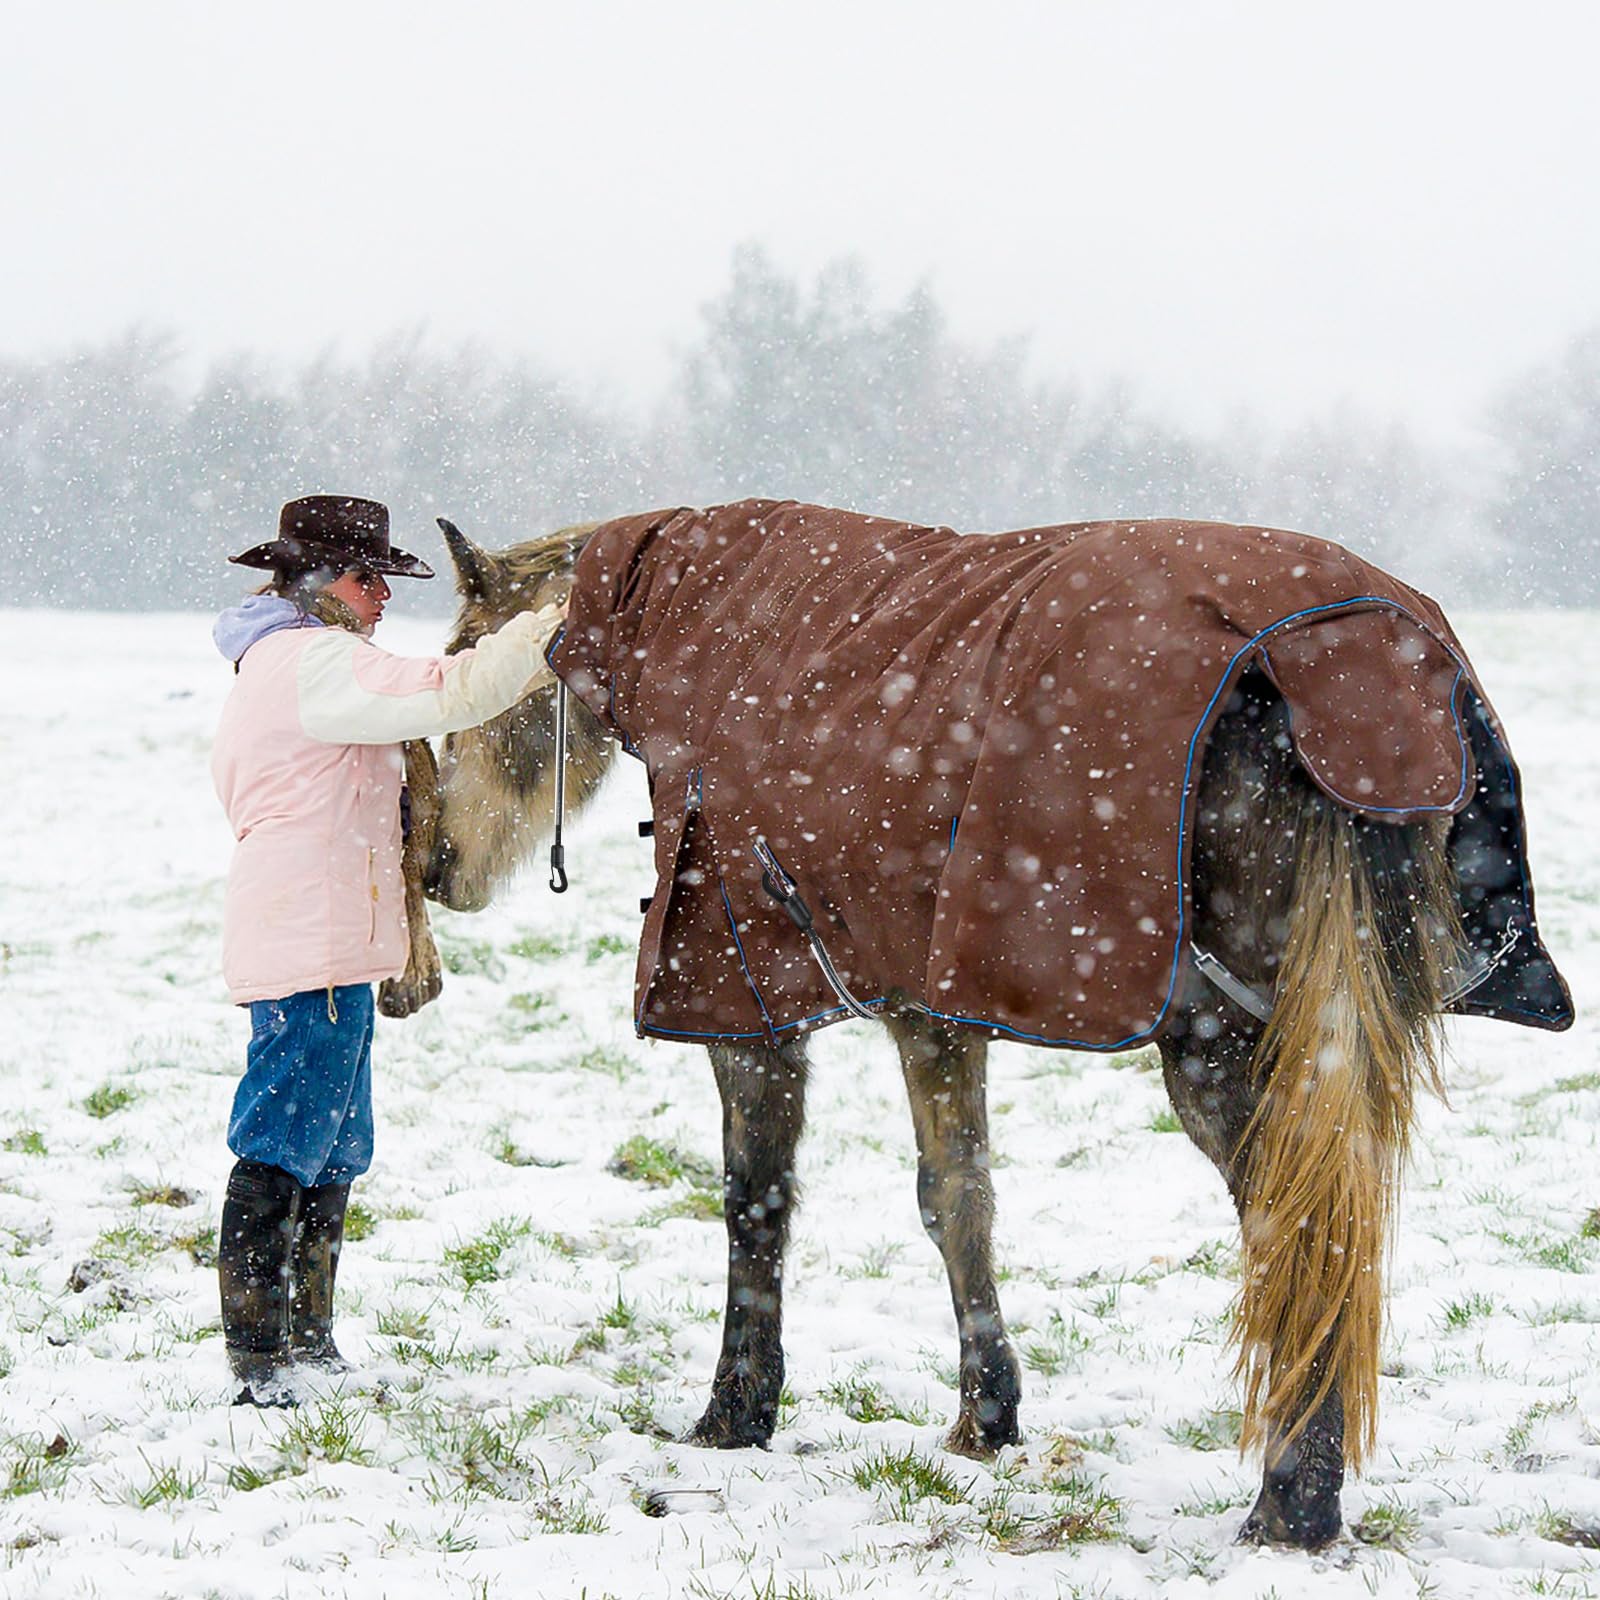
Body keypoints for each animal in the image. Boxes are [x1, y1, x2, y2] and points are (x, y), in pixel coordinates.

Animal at [420, 501, 1569, 1549]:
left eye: (462, 670)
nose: (436, 866)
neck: (716, 621)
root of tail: (1349, 658)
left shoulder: (748, 999)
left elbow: (763, 1199)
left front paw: (735, 1415)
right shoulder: (936, 1003)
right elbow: (959, 1196)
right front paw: (987, 1416)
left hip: (1222, 1044)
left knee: (1296, 1223)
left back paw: (1290, 1501)